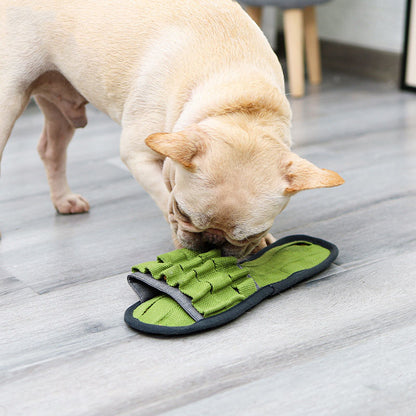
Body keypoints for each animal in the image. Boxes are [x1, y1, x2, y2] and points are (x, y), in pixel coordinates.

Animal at [0, 0, 342, 256]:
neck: (240, 100)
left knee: (51, 150)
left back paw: (63, 200)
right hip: (9, 101)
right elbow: (161, 193)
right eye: (184, 212)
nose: (213, 242)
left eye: (249, 234)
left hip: (61, 101)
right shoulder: (139, 155)